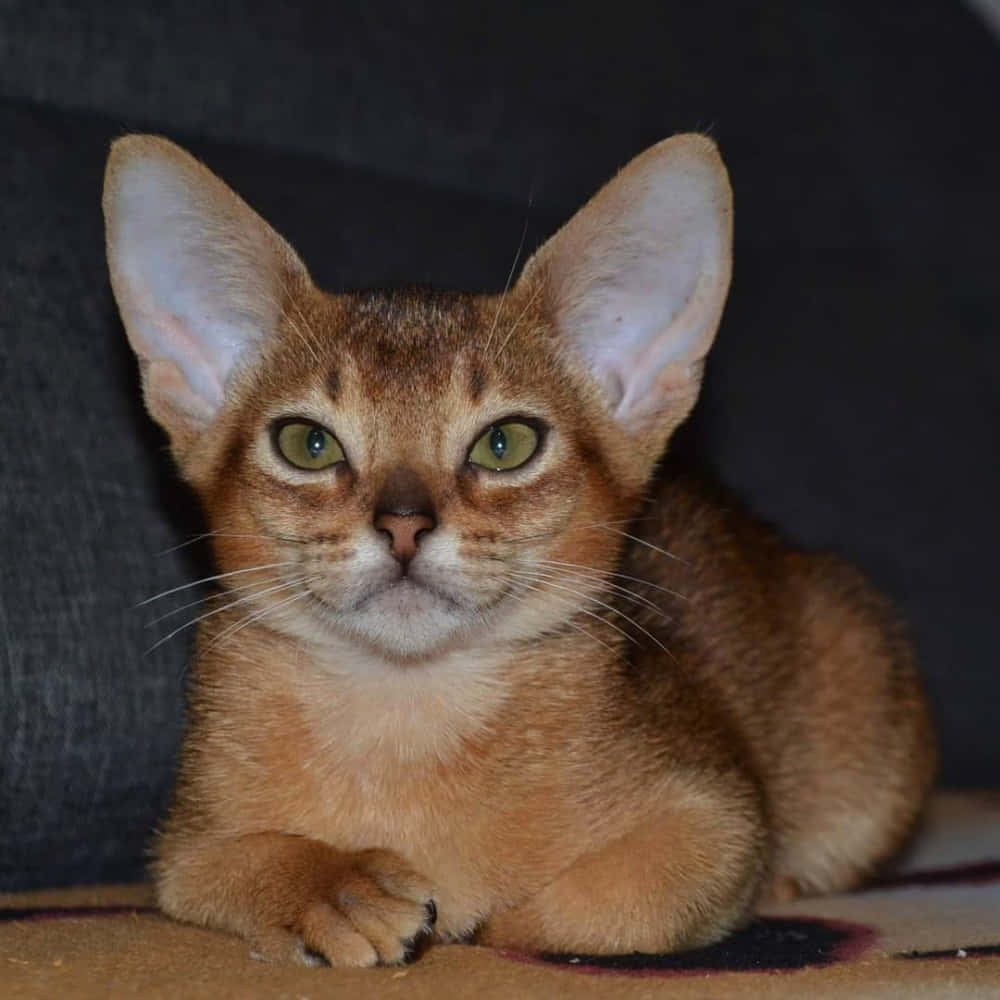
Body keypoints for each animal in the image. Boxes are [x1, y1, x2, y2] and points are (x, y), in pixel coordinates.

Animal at [103, 135, 936, 968]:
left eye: (506, 444)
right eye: (307, 444)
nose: (403, 524)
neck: (406, 715)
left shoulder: (718, 812)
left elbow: (608, 905)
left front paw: (480, 921)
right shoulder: (185, 846)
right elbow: (236, 861)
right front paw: (339, 890)